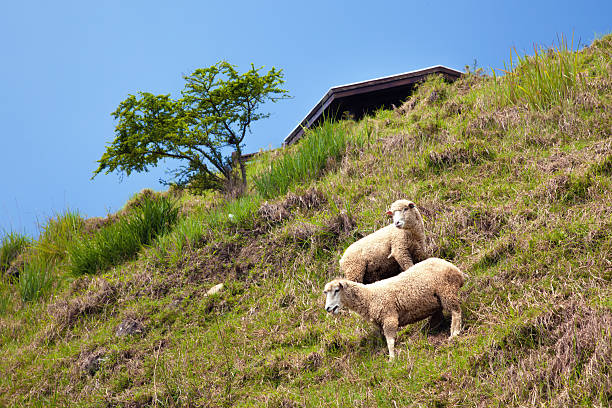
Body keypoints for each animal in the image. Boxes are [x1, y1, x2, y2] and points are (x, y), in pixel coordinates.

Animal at [322, 258, 466, 360]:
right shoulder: (381, 323)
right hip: (439, 299)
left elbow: (390, 342)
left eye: (336, 290)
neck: (369, 296)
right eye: (326, 293)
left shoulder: (389, 318)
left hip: (447, 291)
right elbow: (385, 341)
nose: (328, 308)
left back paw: (454, 334)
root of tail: (457, 271)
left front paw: (392, 359)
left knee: (456, 312)